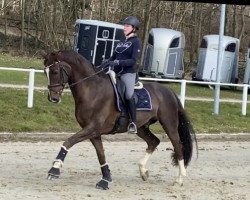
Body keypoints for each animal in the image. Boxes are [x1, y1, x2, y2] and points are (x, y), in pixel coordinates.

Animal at [43, 49, 198, 190]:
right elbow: (101, 154)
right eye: (45, 72)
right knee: (153, 142)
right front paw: (105, 180)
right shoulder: (93, 131)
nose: (53, 98)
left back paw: (179, 179)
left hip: (169, 124)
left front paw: (54, 169)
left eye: (55, 71)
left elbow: (68, 142)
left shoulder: (92, 128)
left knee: (178, 146)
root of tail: (168, 91)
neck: (92, 89)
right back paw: (143, 171)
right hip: (141, 127)